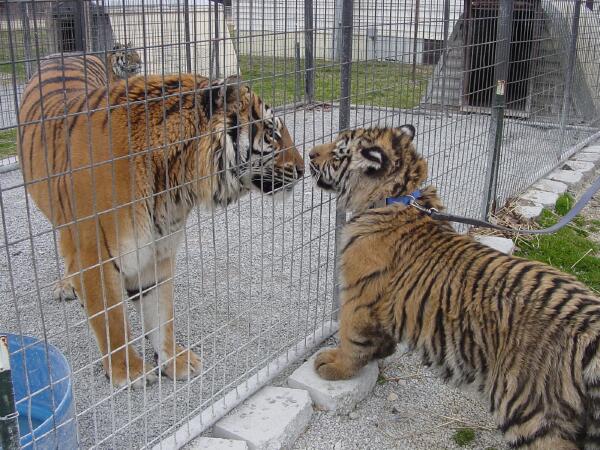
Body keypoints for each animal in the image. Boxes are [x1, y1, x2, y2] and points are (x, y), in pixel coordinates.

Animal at [17, 55, 304, 388]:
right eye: (272, 133)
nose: (303, 169)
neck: (175, 181)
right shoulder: (95, 257)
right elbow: (112, 321)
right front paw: (129, 371)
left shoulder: (156, 253)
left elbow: (161, 315)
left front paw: (176, 361)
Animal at [309, 126, 600, 450]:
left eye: (338, 152)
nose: (309, 153)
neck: (396, 196)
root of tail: (591, 330)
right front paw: (380, 352)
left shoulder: (358, 295)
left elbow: (351, 338)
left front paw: (334, 365)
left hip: (531, 415)